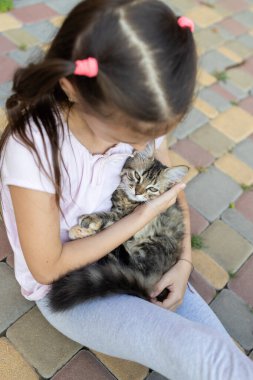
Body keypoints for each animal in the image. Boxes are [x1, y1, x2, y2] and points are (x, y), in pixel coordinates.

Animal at [47, 142, 189, 312]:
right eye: (137, 176)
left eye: (152, 189)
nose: (137, 192)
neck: (126, 199)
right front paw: (81, 230)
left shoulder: (123, 216)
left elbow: (108, 218)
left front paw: (87, 222)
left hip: (153, 244)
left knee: (124, 260)